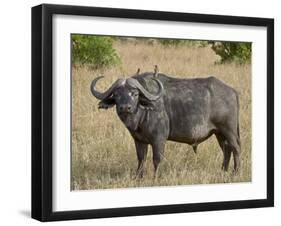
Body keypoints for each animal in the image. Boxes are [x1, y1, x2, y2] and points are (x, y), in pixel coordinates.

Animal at [91, 68, 240, 177]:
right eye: (116, 94)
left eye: (135, 94)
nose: (125, 107)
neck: (141, 117)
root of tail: (232, 91)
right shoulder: (139, 140)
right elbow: (141, 159)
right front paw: (138, 177)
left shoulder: (159, 139)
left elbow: (157, 159)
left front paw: (155, 177)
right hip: (219, 133)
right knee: (226, 150)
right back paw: (223, 171)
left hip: (229, 130)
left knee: (236, 148)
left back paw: (236, 172)